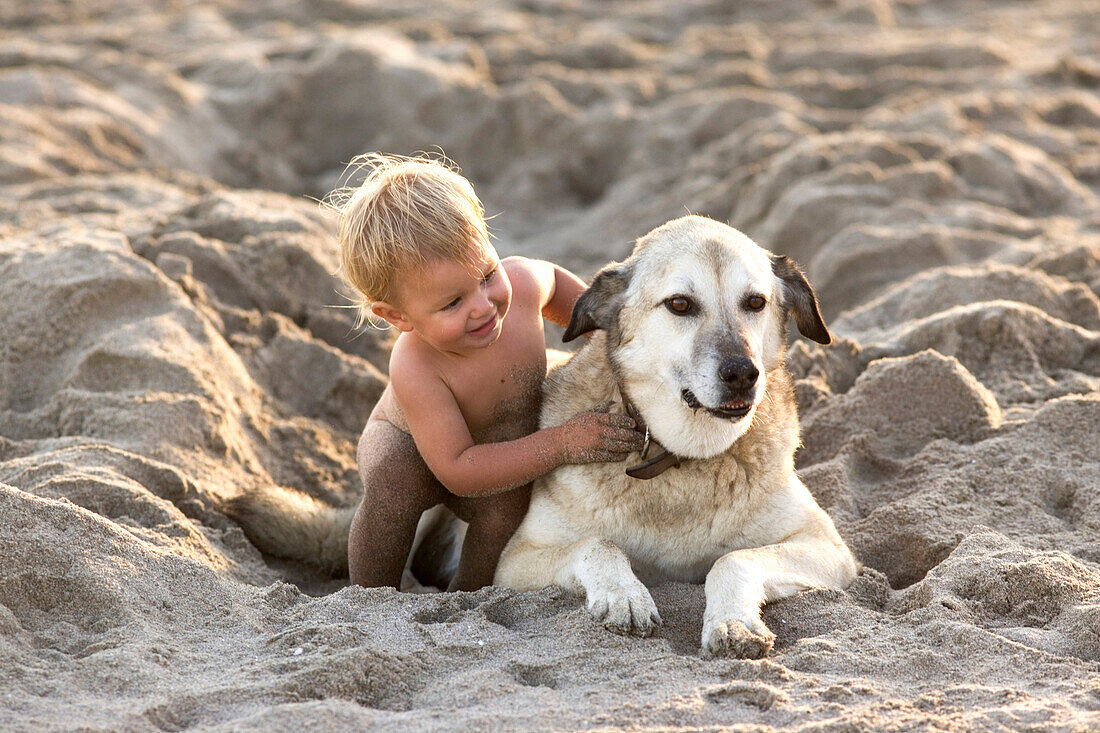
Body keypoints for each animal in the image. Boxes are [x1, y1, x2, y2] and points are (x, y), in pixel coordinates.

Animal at [492, 214, 858, 651]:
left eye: (756, 302)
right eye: (680, 304)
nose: (743, 374)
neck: (684, 457)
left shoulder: (827, 547)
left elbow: (733, 558)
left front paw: (732, 621)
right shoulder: (515, 561)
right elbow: (598, 543)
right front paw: (625, 596)